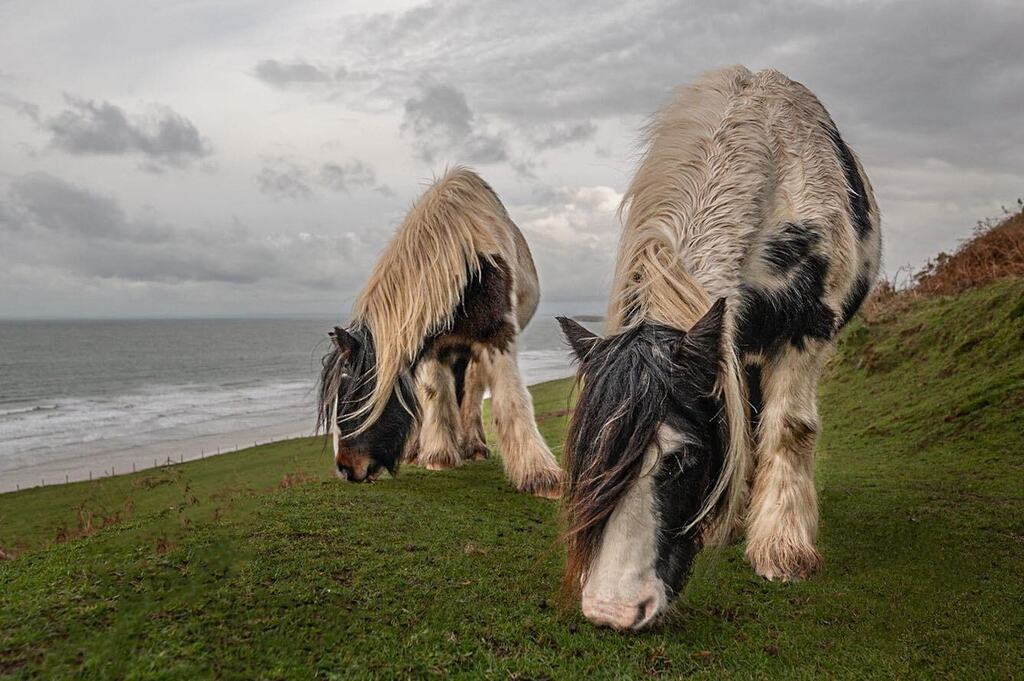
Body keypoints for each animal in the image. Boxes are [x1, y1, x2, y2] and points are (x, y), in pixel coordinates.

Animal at [317, 167, 563, 499]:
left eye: (351, 397)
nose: (344, 469)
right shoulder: (433, 344)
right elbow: (435, 393)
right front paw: (439, 456)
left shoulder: (498, 334)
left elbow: (511, 399)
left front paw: (539, 475)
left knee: (472, 389)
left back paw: (473, 445)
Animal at [556, 66, 881, 629]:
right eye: (588, 453)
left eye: (681, 460)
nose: (612, 611)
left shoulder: (808, 328)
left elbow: (791, 428)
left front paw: (782, 549)